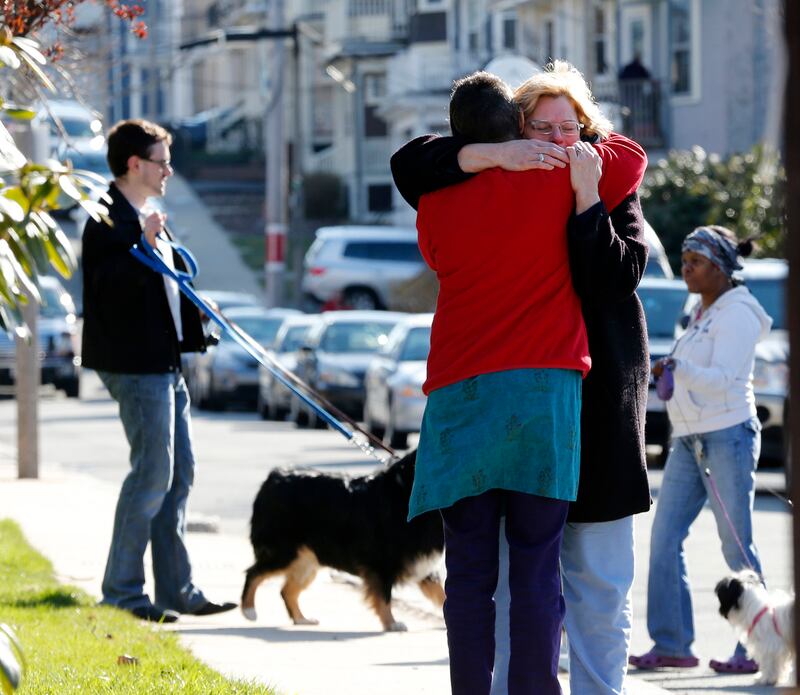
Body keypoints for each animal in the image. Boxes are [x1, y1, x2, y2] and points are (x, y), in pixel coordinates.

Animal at [241, 448, 446, 632]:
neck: (406, 490)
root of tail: (273, 477)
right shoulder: (381, 563)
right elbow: (384, 597)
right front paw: (391, 624)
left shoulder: (421, 561)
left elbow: (442, 593)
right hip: (284, 552)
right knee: (253, 573)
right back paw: (248, 610)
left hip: (306, 561)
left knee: (286, 590)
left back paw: (301, 619)